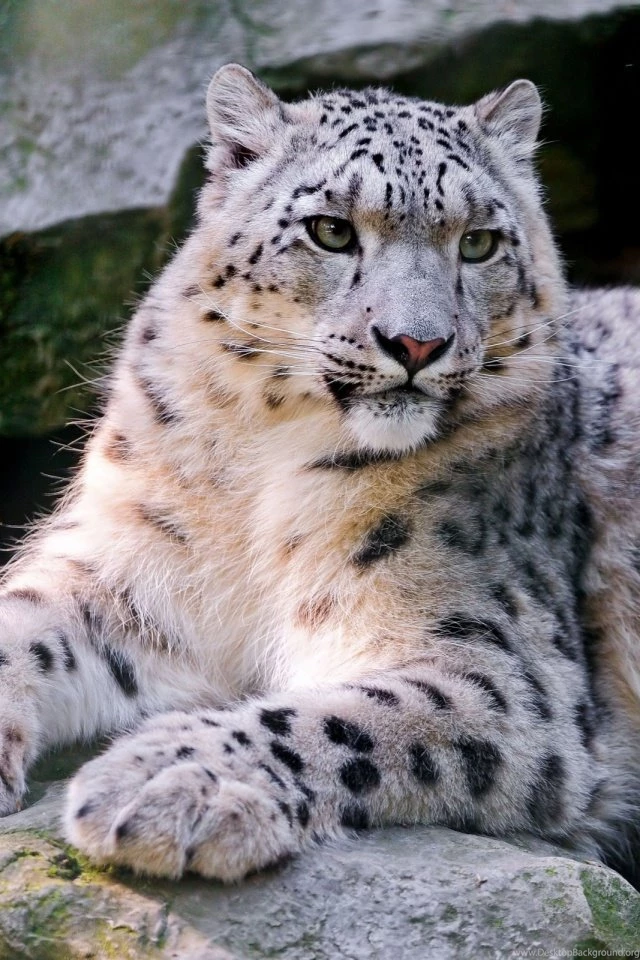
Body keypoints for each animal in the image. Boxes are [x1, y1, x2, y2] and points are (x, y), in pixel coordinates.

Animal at [1, 62, 640, 887]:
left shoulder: (502, 669)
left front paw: (168, 779)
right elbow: (23, 620)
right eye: (331, 230)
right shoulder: (125, 568)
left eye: (479, 243)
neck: (262, 473)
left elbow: (339, 717)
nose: (417, 342)